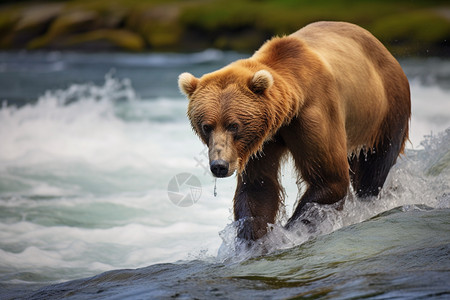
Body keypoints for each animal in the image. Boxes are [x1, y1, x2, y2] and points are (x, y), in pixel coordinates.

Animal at [178, 21, 410, 241]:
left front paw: (289, 231)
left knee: (374, 169)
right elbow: (258, 187)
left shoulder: (313, 116)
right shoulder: (261, 141)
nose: (219, 165)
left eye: (233, 125)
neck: (287, 112)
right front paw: (253, 237)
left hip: (386, 108)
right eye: (206, 126)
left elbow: (329, 179)